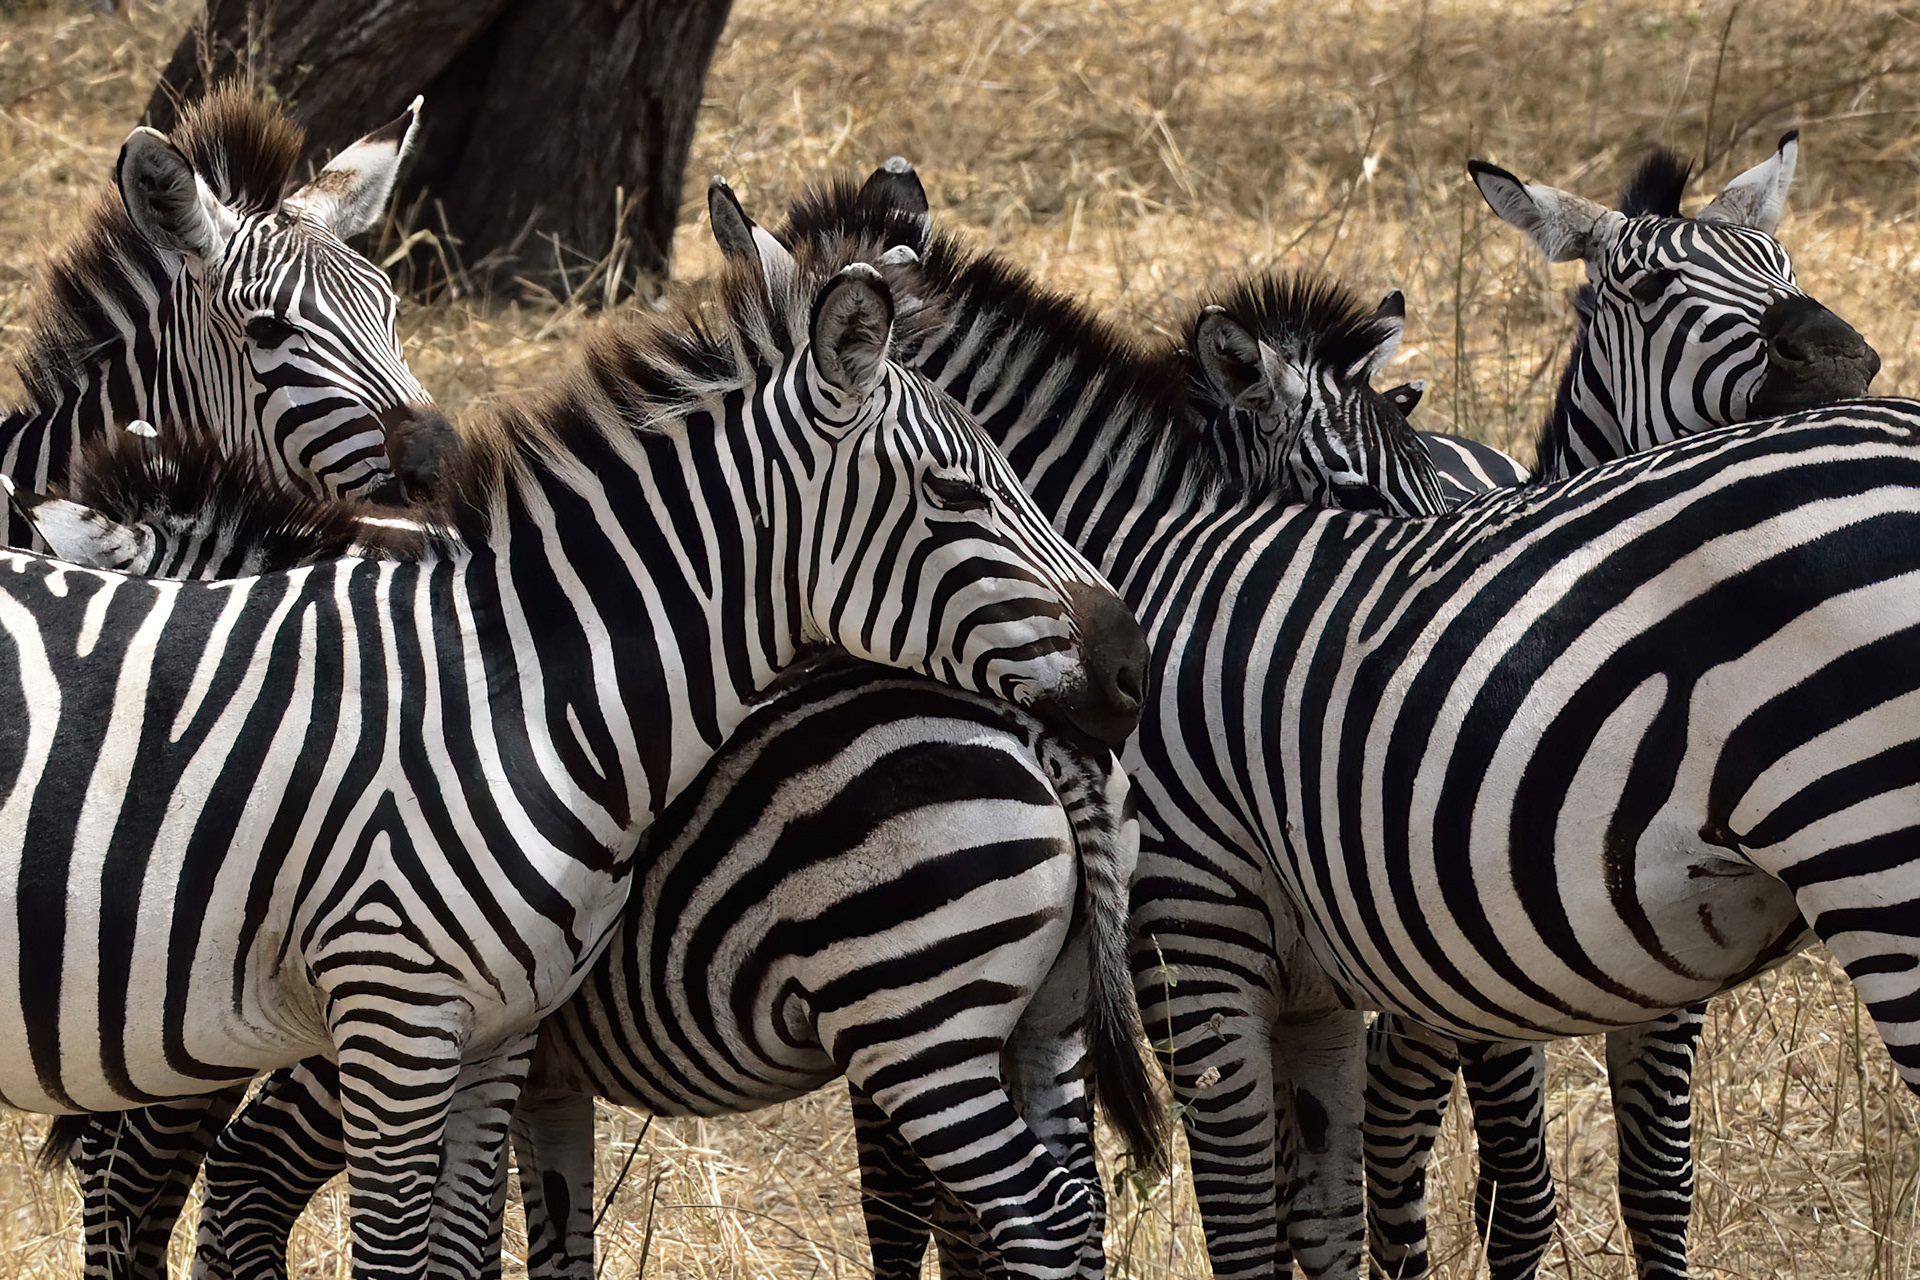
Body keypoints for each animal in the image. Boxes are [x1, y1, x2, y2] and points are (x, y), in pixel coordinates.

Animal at [0, 221, 1144, 1280]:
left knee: (1035, 1211)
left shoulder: (373, 1024)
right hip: (1033, 1021)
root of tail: (1042, 747)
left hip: (920, 1012)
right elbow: (499, 1233)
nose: (1130, 666)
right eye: (955, 492)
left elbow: (257, 1201)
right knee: (1069, 1208)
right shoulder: (456, 1036)